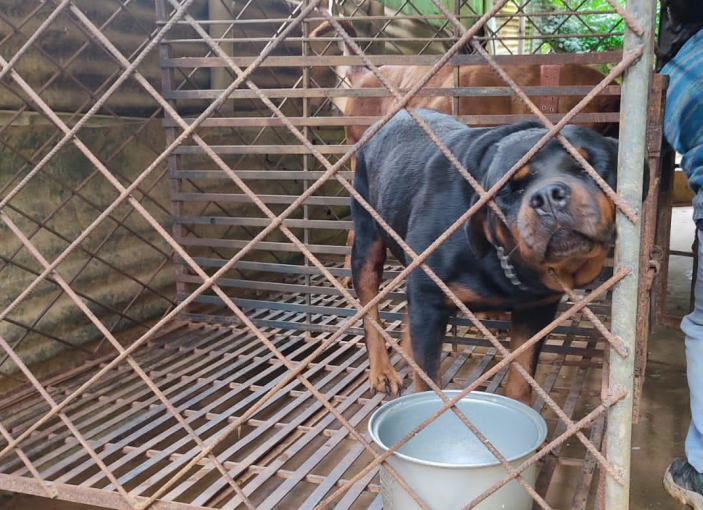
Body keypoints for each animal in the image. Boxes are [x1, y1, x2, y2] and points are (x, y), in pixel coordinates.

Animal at [350, 109, 620, 404]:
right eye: (510, 189)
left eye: (588, 167)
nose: (548, 195)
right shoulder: (428, 297)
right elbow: (429, 379)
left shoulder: (538, 308)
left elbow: (522, 376)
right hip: (366, 238)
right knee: (370, 311)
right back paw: (382, 371)